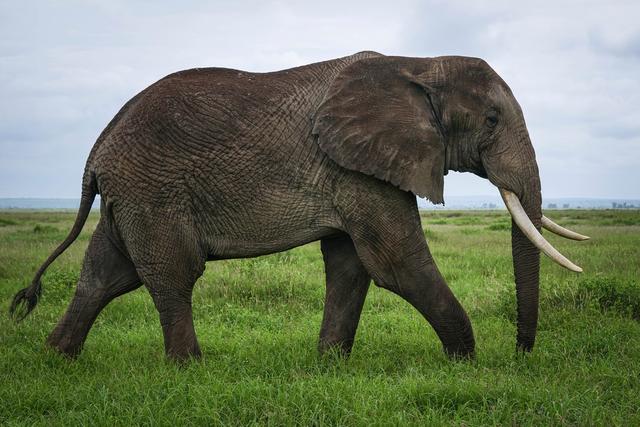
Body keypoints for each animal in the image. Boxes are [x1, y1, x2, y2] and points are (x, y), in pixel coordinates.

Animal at [11, 51, 592, 362]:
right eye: (492, 120)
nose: (520, 354)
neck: (419, 64)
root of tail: (97, 150)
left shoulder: (353, 167)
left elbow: (351, 265)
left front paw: (330, 366)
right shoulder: (355, 167)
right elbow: (396, 264)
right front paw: (464, 363)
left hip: (130, 197)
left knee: (104, 275)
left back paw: (55, 358)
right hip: (153, 192)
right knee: (171, 275)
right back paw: (190, 369)